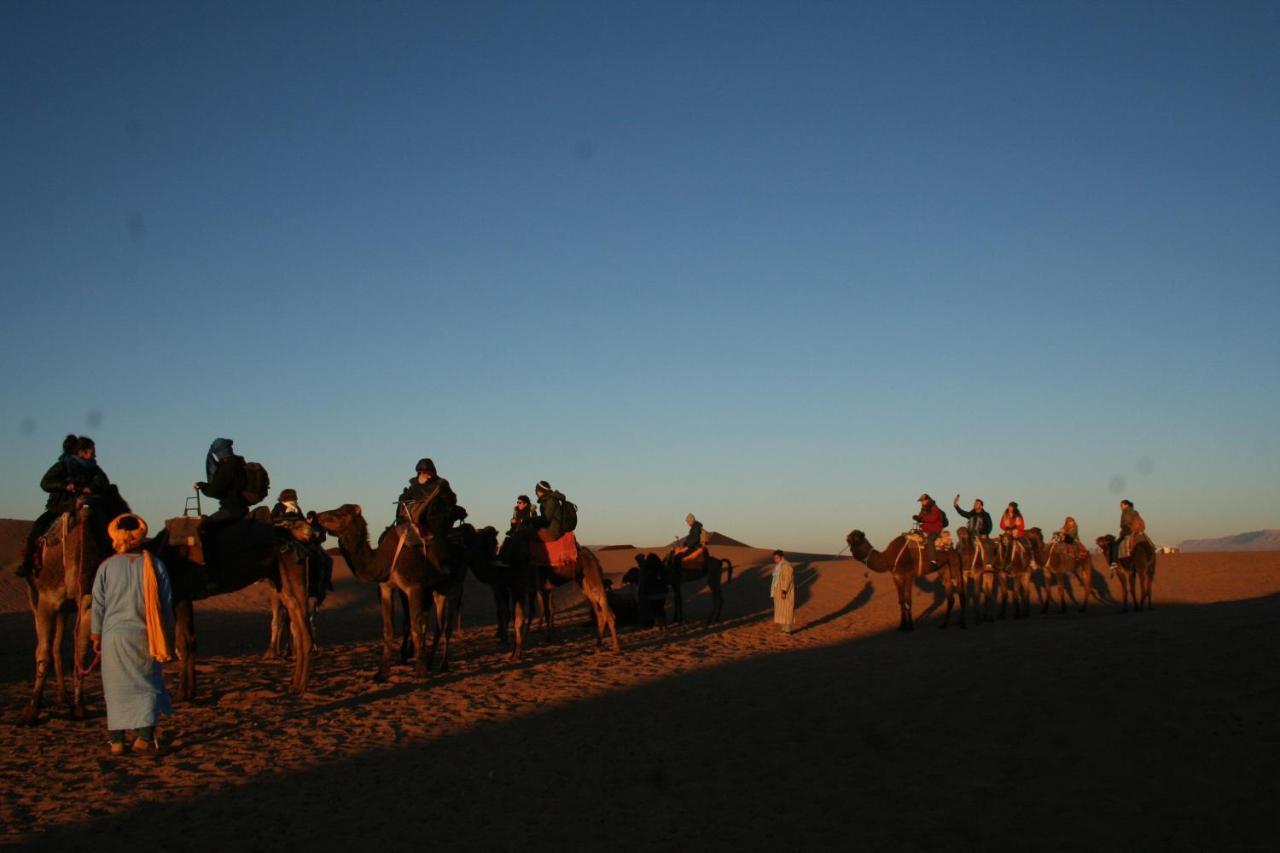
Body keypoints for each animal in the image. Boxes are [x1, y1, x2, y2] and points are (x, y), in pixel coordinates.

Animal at [312, 504, 468, 676]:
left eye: (340, 513)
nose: (315, 515)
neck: (384, 559)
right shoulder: (386, 588)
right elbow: (388, 629)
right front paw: (381, 673)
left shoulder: (414, 587)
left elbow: (415, 627)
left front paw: (419, 671)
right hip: (437, 590)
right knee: (439, 626)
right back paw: (430, 662)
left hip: (456, 586)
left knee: (447, 627)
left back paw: (443, 666)